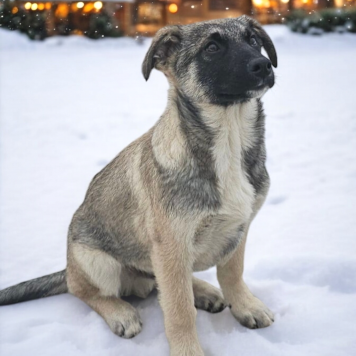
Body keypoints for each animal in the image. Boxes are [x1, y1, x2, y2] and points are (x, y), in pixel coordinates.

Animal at [0, 16, 276, 356]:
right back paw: (121, 312)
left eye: (254, 40)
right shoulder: (171, 242)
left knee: (162, 282)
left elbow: (232, 273)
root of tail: (68, 267)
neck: (229, 139)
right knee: (86, 291)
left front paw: (246, 306)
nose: (263, 66)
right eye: (211, 48)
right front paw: (187, 349)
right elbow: (179, 308)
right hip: (96, 261)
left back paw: (204, 291)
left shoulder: (239, 227)